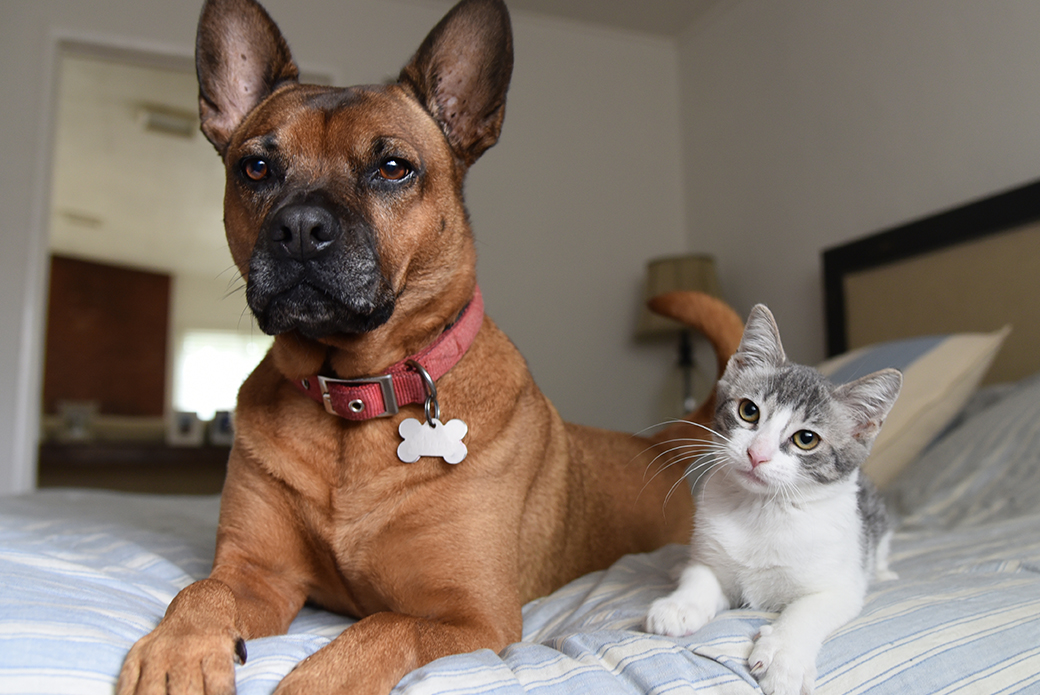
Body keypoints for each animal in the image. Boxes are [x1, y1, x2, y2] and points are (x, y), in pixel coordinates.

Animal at [118, 1, 744, 695]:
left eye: (393, 168)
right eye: (255, 168)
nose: (300, 230)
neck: (354, 398)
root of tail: (670, 440)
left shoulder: (470, 614)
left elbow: (378, 630)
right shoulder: (255, 572)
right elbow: (199, 592)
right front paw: (178, 650)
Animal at [644, 303, 906, 695]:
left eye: (806, 439)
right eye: (748, 411)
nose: (757, 454)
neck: (762, 510)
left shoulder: (841, 584)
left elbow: (808, 610)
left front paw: (783, 655)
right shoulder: (711, 555)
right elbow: (700, 575)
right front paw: (680, 605)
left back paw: (885, 572)